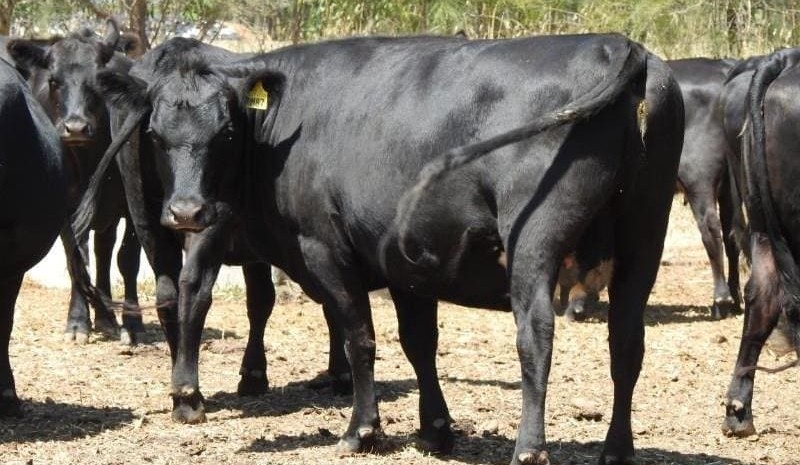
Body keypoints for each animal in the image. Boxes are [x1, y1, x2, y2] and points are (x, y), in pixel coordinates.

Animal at [6, 20, 145, 344]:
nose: (76, 127)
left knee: (105, 252)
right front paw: (78, 323)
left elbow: (128, 260)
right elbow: (76, 259)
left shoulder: (133, 202)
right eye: (54, 81)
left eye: (99, 82)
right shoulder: (67, 212)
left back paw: (107, 317)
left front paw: (132, 324)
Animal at [76, 35, 683, 464]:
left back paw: (529, 448)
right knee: (627, 343)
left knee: (535, 334)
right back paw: (617, 449)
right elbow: (418, 344)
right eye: (155, 135)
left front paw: (361, 428)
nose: (186, 212)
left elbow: (359, 338)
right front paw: (435, 430)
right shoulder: (410, 261)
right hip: (644, 235)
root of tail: (618, 45)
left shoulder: (325, 249)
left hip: (534, 236)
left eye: (225, 132)